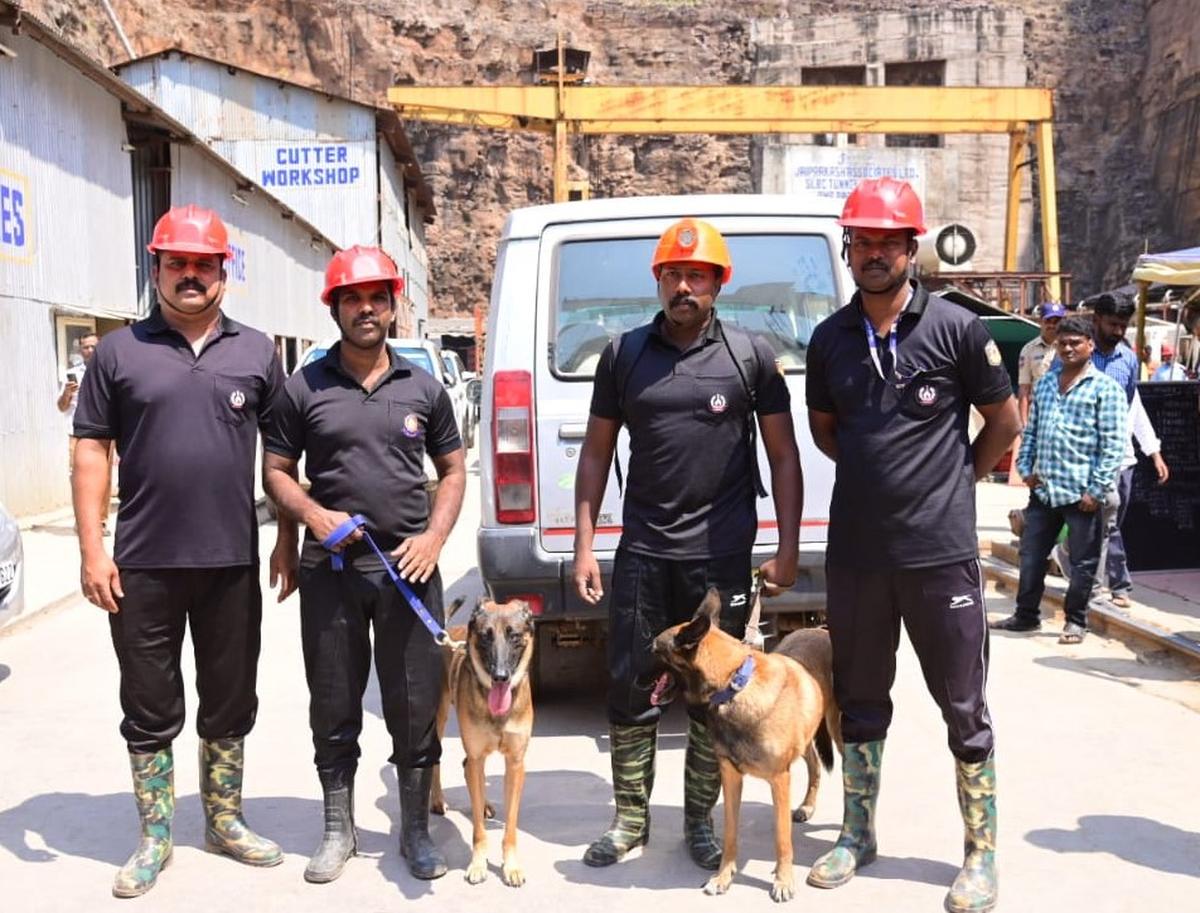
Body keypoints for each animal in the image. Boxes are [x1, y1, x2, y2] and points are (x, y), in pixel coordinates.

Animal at [427, 597, 530, 883]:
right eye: (485, 636)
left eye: (514, 635)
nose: (500, 676)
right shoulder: (476, 754)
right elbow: (479, 832)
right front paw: (478, 864)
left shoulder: (515, 764)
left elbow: (511, 827)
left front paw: (511, 866)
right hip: (440, 719)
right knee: (438, 761)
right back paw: (437, 800)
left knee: (468, 768)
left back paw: (483, 805)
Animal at [652, 587, 840, 902]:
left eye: (653, 651)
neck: (734, 685)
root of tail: (819, 629)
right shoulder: (731, 777)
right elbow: (730, 833)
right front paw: (723, 877)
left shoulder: (779, 780)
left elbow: (782, 838)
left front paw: (783, 881)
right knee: (813, 763)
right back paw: (807, 806)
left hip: (839, 729)